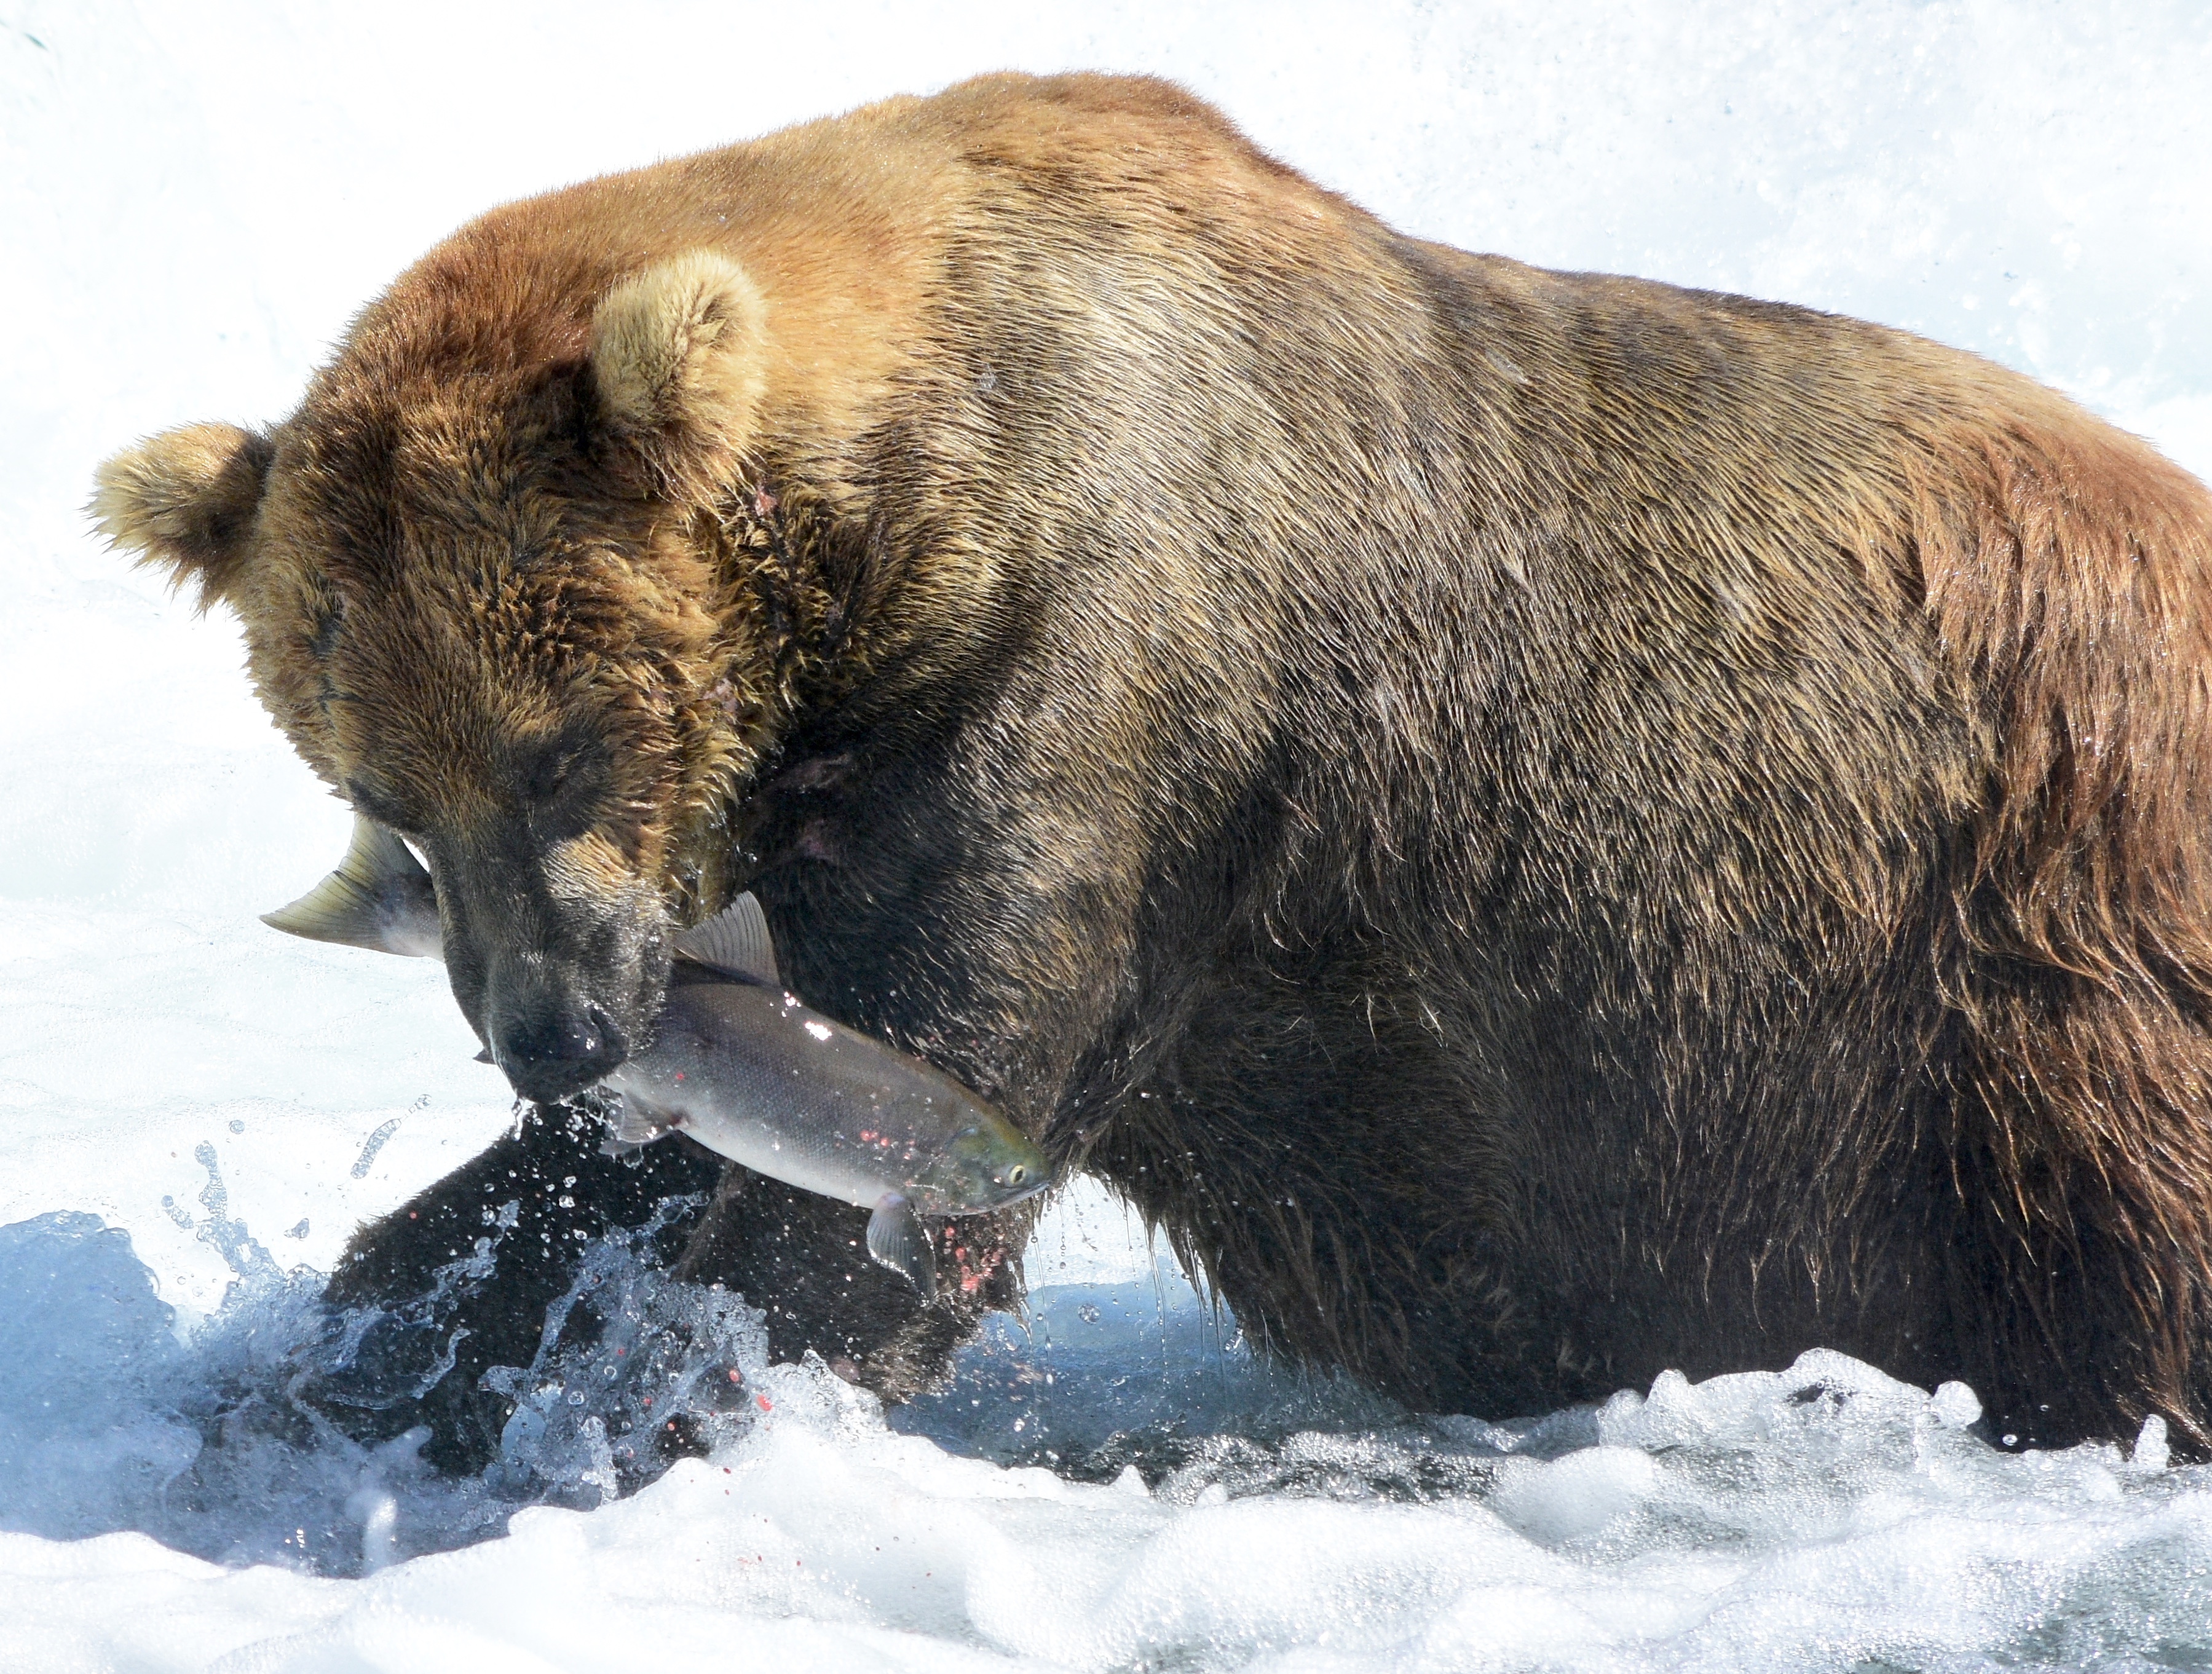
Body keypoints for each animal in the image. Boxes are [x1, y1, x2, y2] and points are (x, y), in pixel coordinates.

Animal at [95, 75, 2212, 1459]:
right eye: (378, 788)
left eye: (557, 751)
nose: (548, 1032)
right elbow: (605, 1181)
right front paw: (365, 1354)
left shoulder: (1114, 685)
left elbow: (896, 1124)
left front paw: (675, 1396)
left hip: (2012, 968)